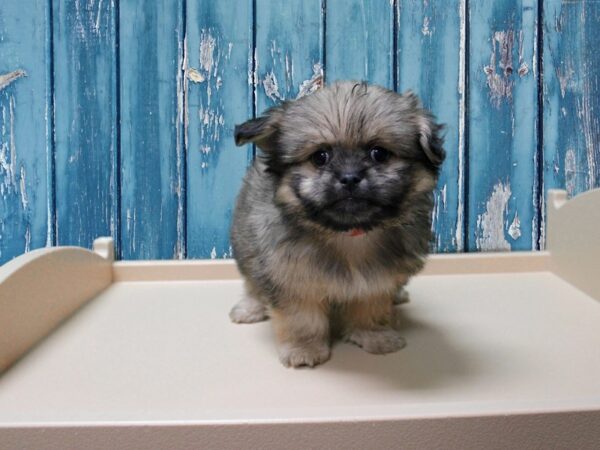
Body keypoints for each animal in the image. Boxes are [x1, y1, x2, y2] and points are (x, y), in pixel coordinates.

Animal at [227, 81, 442, 370]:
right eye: (320, 157)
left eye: (379, 153)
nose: (350, 177)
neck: (349, 233)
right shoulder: (291, 275)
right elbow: (301, 318)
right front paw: (304, 348)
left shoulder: (377, 279)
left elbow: (371, 306)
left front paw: (374, 335)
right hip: (246, 240)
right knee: (251, 279)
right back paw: (250, 307)